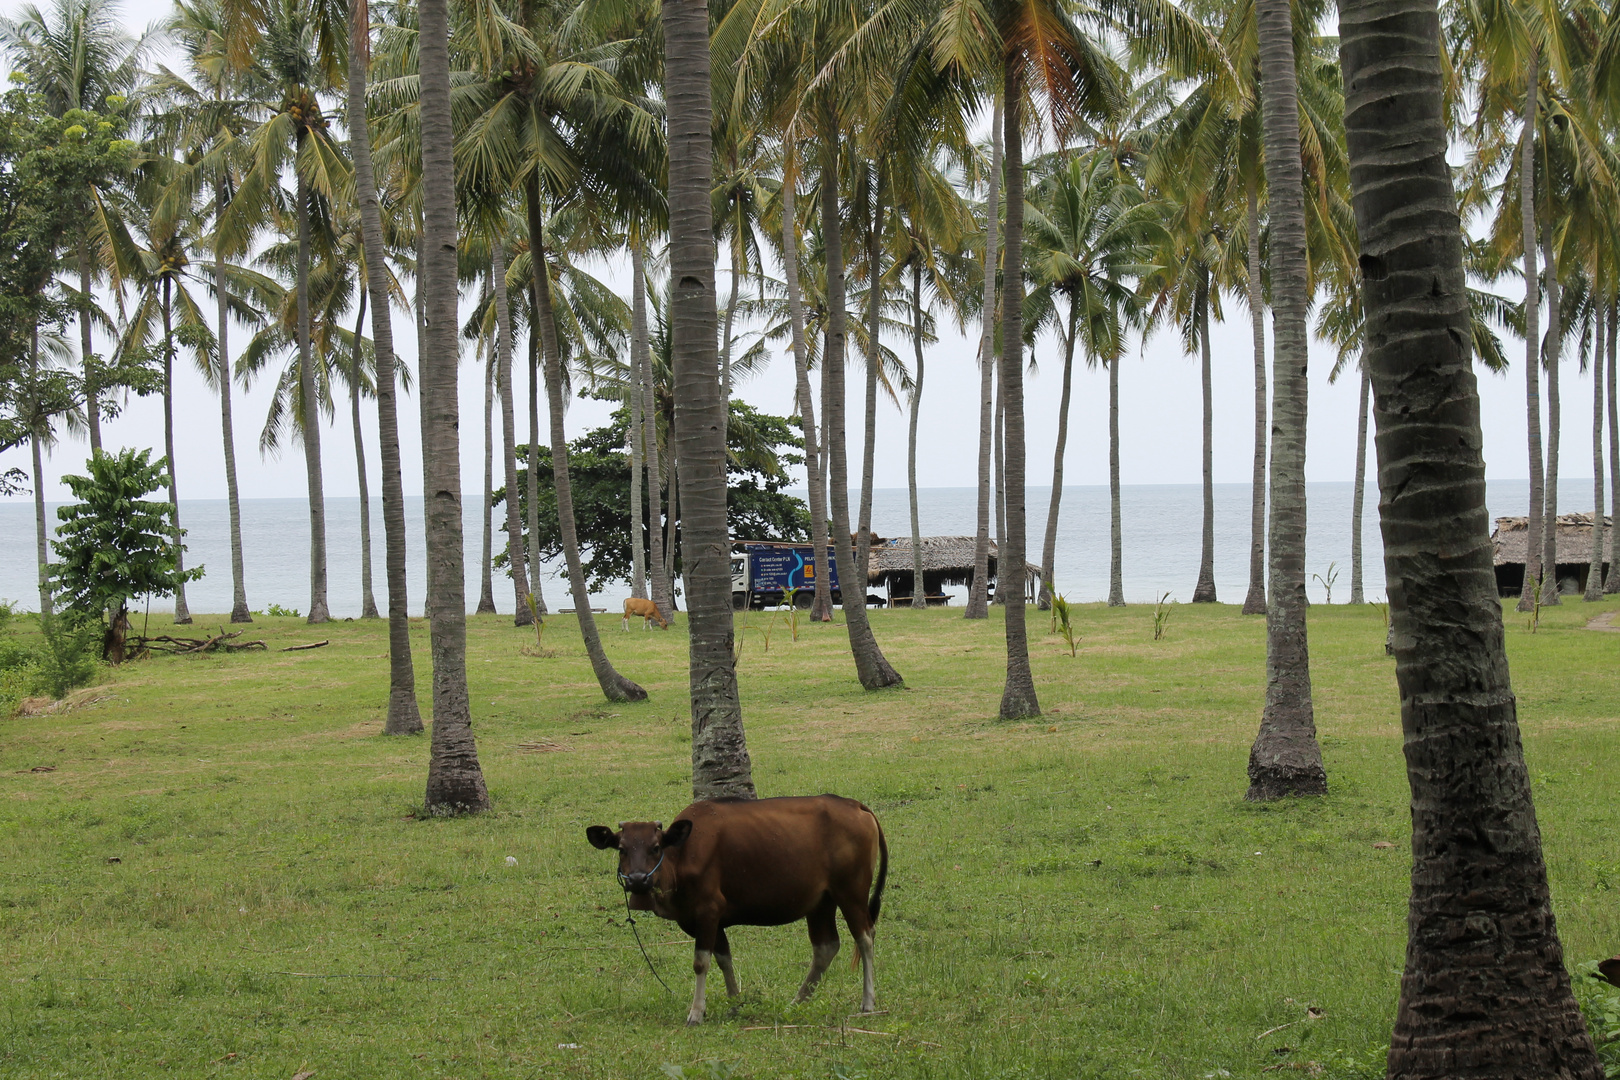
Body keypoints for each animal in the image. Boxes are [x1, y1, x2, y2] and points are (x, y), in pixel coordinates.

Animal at [583, 799, 887, 1029]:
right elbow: (724, 959)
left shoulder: (708, 910)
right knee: (826, 947)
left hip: (851, 892)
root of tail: (856, 805)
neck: (682, 858)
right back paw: (796, 1002)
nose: (637, 880)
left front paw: (696, 1012)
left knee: (865, 938)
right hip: (821, 902)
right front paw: (734, 1005)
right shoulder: (710, 920)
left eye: (655, 847)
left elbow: (701, 963)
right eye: (621, 849)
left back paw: (868, 1002)